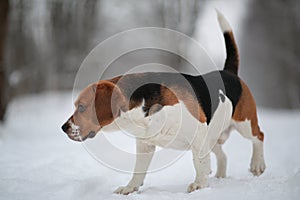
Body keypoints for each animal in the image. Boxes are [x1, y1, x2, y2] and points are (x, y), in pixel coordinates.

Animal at [61, 10, 264, 194]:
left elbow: (199, 161)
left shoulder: (198, 132)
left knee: (258, 136)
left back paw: (257, 164)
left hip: (244, 123)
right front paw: (130, 187)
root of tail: (228, 72)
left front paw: (199, 185)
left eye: (82, 107)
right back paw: (220, 176)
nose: (64, 128)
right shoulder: (145, 145)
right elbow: (138, 170)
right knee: (223, 156)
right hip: (213, 137)